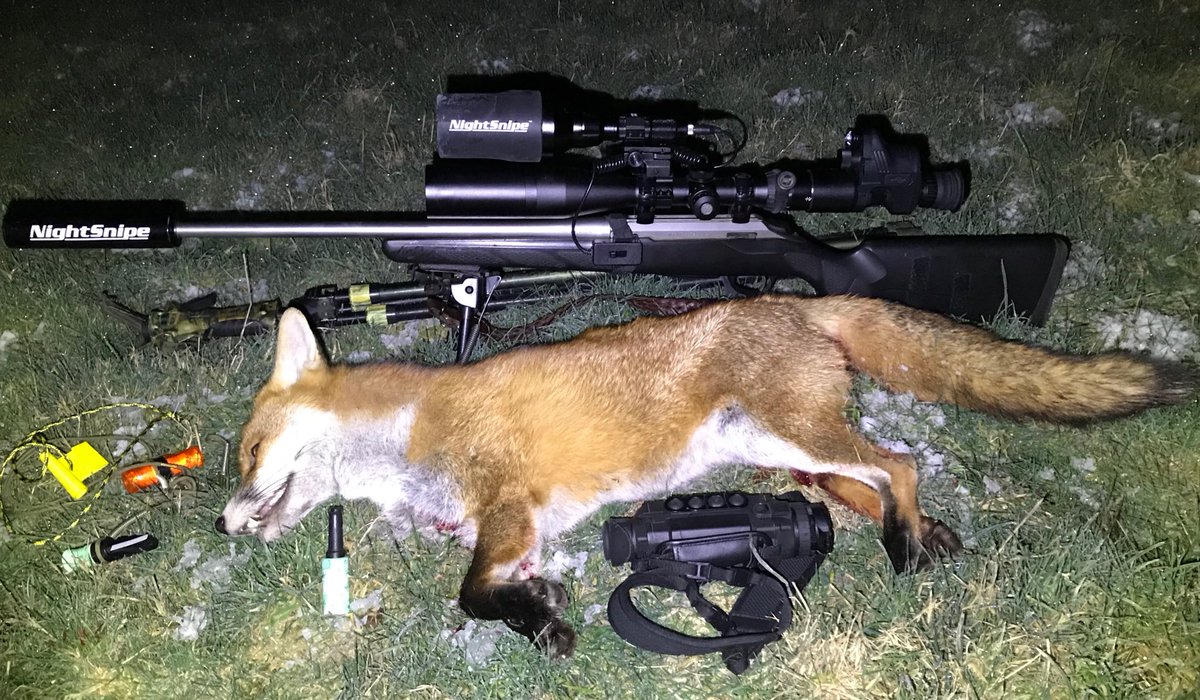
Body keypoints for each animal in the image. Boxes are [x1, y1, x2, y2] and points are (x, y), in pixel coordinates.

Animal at [215, 294, 1194, 658]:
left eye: (250, 452)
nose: (222, 524)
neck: (414, 433)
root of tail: (796, 302)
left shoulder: (509, 505)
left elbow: (469, 593)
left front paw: (543, 623)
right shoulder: (521, 529)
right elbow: (493, 589)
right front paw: (541, 615)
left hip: (793, 432)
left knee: (899, 463)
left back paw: (907, 546)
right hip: (784, 451)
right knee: (864, 481)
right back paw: (927, 533)